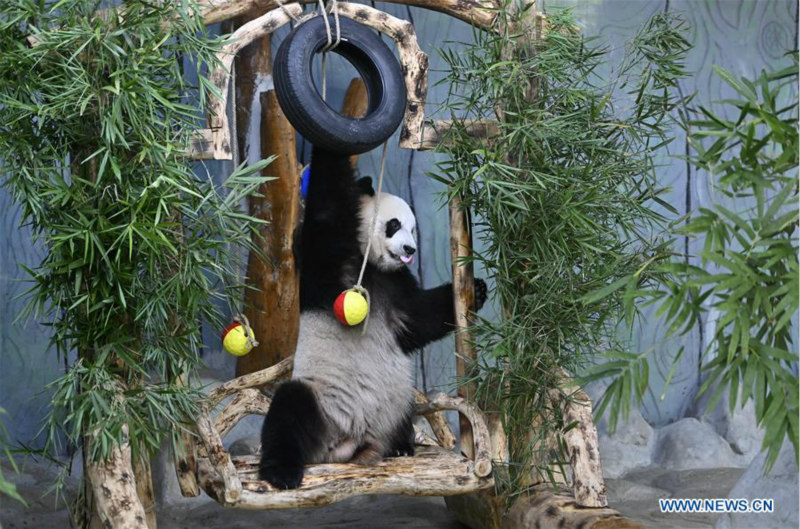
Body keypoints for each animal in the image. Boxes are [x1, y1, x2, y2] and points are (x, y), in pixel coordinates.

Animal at [258, 147, 486, 490]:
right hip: (326, 408)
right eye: (393, 225)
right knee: (290, 407)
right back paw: (281, 472)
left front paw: (477, 289)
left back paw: (402, 446)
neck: (375, 267)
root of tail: (356, 444)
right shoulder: (330, 263)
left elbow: (417, 320)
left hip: (396, 403)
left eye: (413, 229)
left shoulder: (396, 287)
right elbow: (327, 210)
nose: (410, 249)